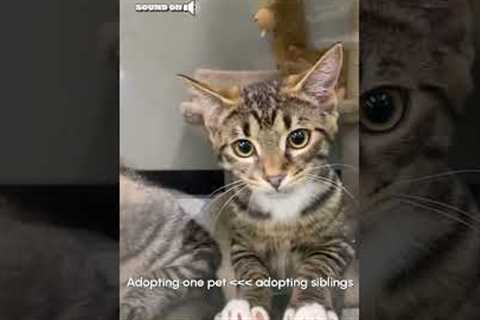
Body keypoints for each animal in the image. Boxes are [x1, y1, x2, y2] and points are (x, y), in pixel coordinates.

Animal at [178, 44, 354, 320]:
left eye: (298, 138)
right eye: (243, 147)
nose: (274, 178)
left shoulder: (341, 239)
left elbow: (319, 263)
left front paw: (309, 306)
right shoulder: (240, 242)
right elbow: (250, 269)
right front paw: (247, 304)